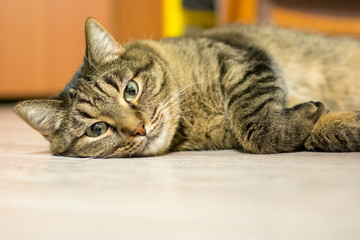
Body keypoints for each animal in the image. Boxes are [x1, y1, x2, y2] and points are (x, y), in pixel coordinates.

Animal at [14, 18, 360, 158]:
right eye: (96, 130)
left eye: (130, 90)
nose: (140, 128)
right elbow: (290, 130)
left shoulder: (240, 57)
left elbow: (252, 118)